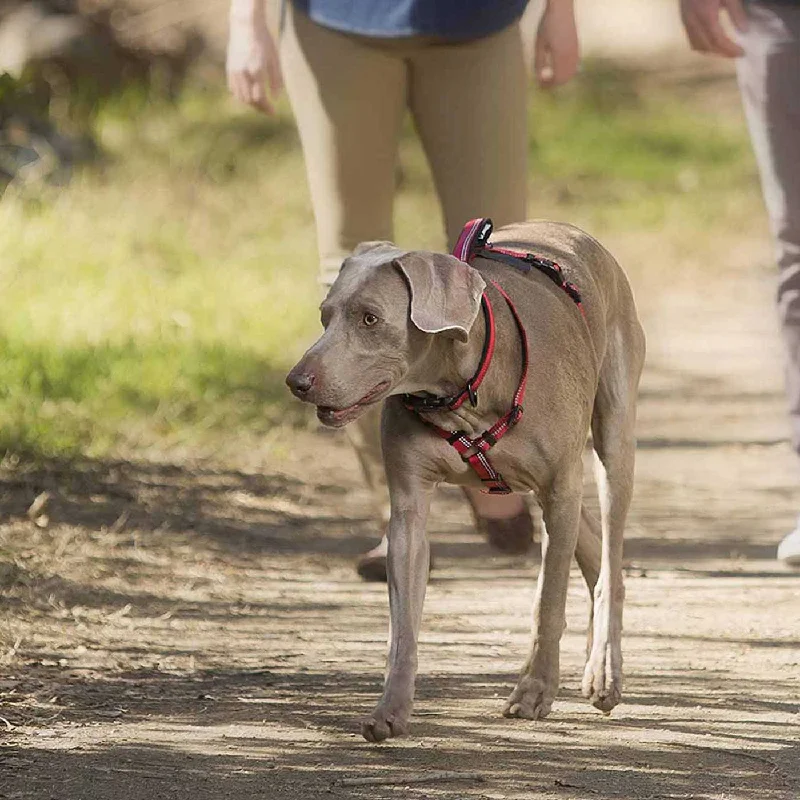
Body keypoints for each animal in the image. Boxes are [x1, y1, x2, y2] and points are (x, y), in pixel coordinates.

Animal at [286, 220, 644, 744]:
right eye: (324, 316)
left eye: (370, 319)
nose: (296, 381)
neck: (462, 391)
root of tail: (570, 231)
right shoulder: (410, 509)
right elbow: (403, 624)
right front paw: (390, 709)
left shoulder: (559, 484)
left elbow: (547, 601)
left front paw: (534, 691)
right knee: (595, 552)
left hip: (611, 439)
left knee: (610, 556)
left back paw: (604, 670)